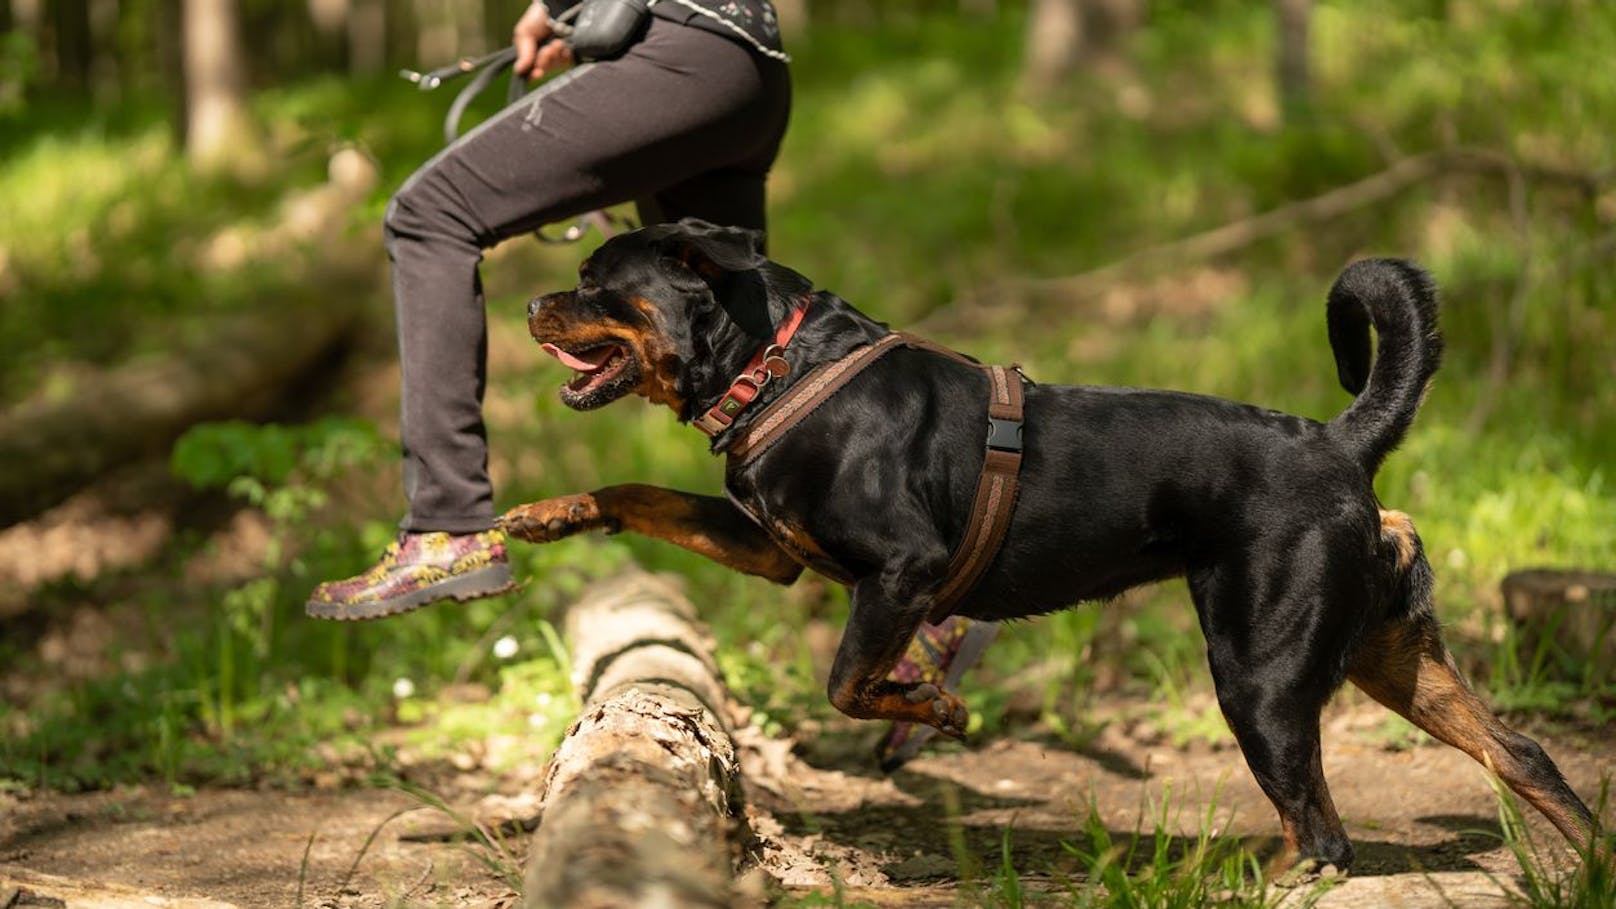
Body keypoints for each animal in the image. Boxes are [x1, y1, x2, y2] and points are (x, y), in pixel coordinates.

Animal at [497, 215, 1596, 866]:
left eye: (594, 280)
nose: (529, 301)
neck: (776, 365)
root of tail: (1339, 444)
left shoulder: (902, 571)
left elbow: (850, 681)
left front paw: (933, 705)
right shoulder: (769, 545)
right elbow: (640, 492)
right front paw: (550, 513)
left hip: (1261, 675)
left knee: (1321, 829)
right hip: (1388, 653)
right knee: (1523, 755)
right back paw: (1590, 858)